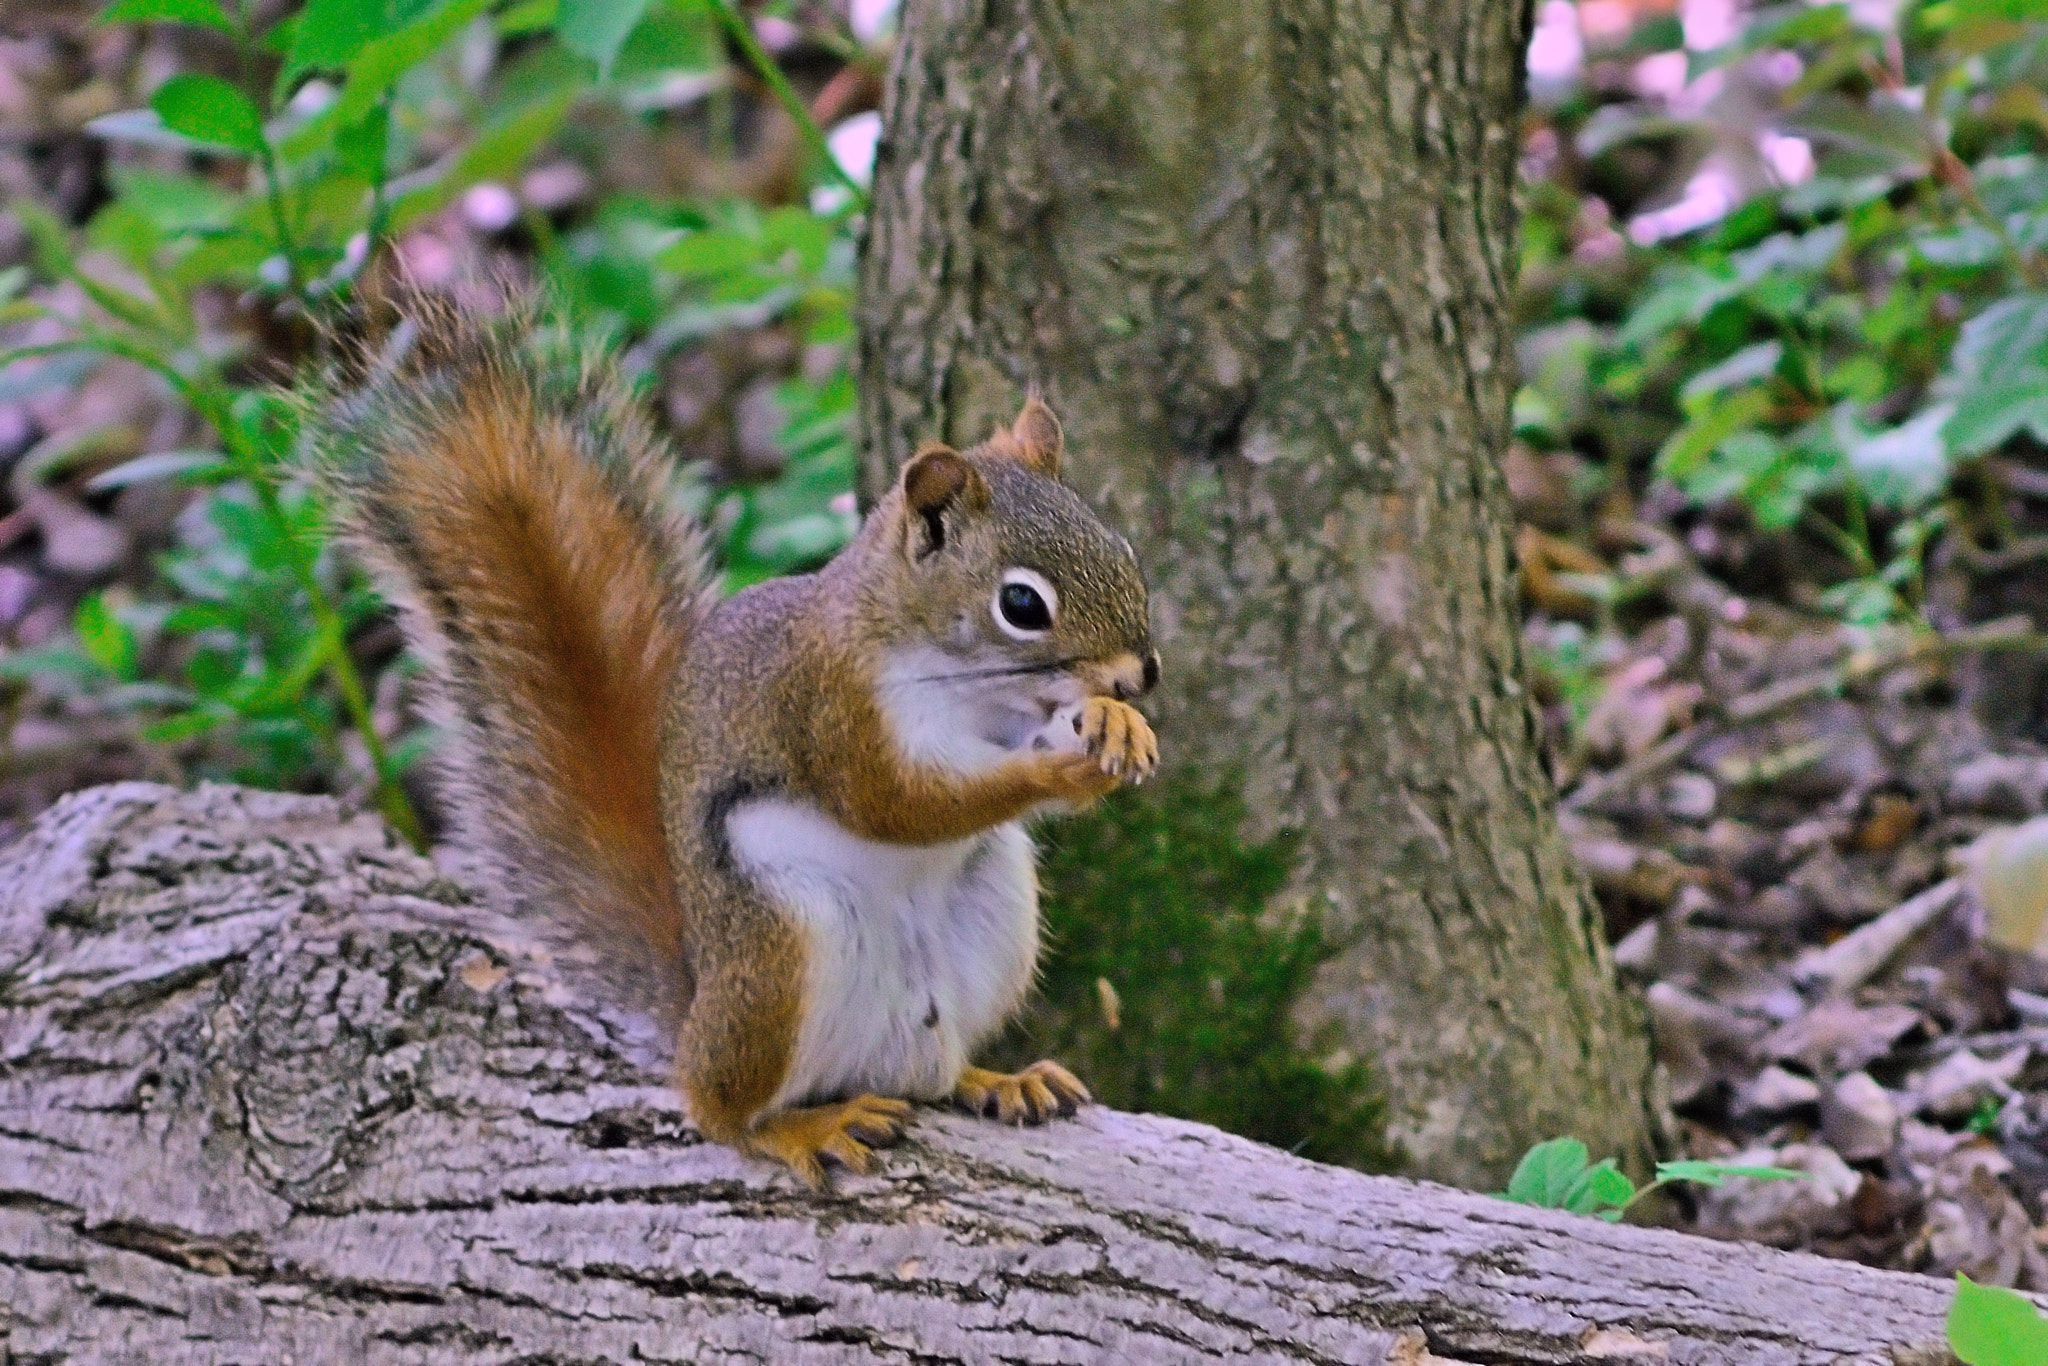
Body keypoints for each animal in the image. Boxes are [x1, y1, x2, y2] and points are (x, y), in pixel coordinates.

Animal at [311, 296, 1163, 1187]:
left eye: (1123, 549)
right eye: (1022, 605)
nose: (1142, 673)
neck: (958, 675)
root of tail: (699, 987)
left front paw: (1115, 724)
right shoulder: (828, 710)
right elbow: (895, 804)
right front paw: (1061, 766)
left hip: (994, 919)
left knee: (932, 1073)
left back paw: (996, 1079)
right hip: (778, 955)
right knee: (716, 1104)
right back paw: (801, 1127)